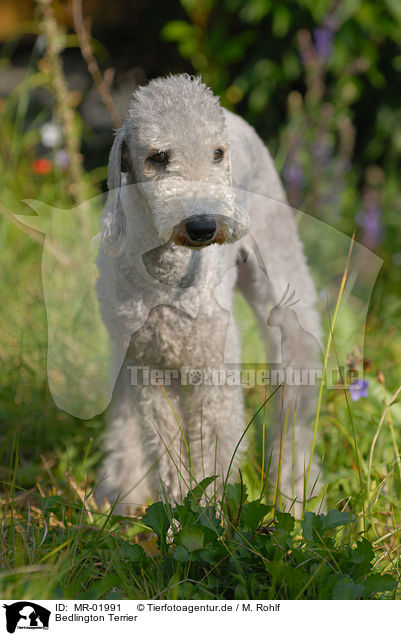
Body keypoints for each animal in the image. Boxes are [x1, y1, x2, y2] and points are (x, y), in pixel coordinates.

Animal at [95, 72, 320, 516]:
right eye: (158, 157)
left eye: (217, 153)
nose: (203, 225)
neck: (169, 276)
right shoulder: (147, 365)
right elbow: (165, 449)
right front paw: (176, 517)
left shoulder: (212, 367)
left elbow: (214, 452)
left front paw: (209, 517)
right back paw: (122, 488)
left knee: (296, 399)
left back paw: (294, 494)